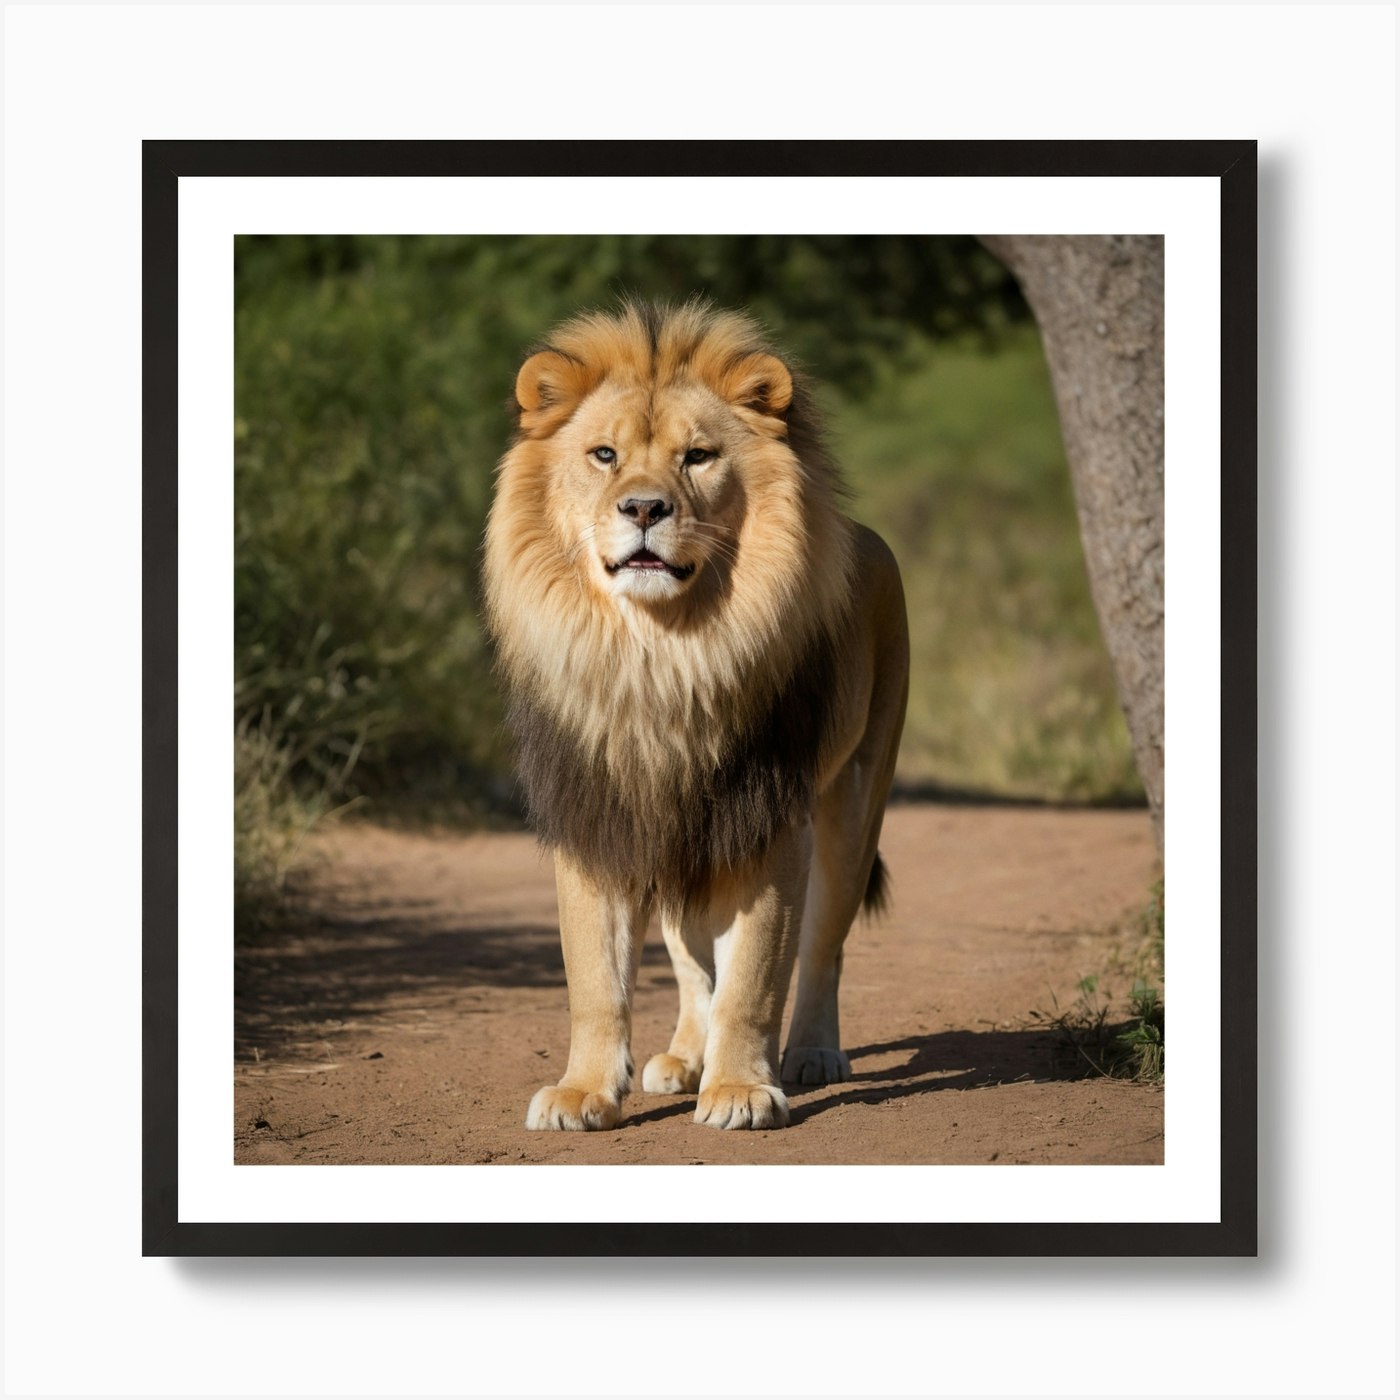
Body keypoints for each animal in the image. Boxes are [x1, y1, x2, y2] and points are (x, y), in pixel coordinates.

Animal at [483, 299, 908, 1131]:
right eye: (605, 455)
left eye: (699, 457)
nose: (646, 507)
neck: (660, 655)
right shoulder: (599, 815)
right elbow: (596, 979)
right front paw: (585, 1091)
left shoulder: (770, 823)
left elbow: (755, 975)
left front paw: (741, 1088)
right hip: (680, 840)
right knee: (687, 958)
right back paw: (685, 1056)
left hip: (852, 805)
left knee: (824, 945)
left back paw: (811, 1053)